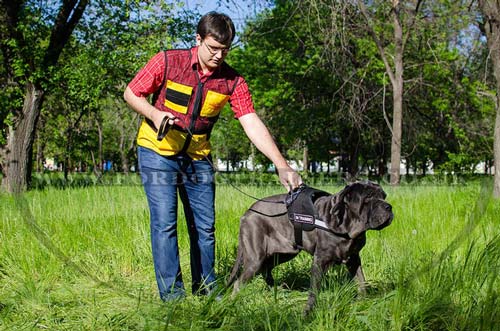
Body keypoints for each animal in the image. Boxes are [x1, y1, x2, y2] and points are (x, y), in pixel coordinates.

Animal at [227, 182, 394, 314]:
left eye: (384, 196)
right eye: (368, 198)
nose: (389, 207)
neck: (347, 225)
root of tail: (247, 213)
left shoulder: (354, 258)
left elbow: (361, 280)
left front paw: (363, 301)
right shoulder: (320, 261)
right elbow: (314, 289)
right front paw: (308, 312)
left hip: (285, 253)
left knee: (266, 269)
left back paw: (278, 290)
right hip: (255, 258)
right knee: (239, 282)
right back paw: (232, 303)